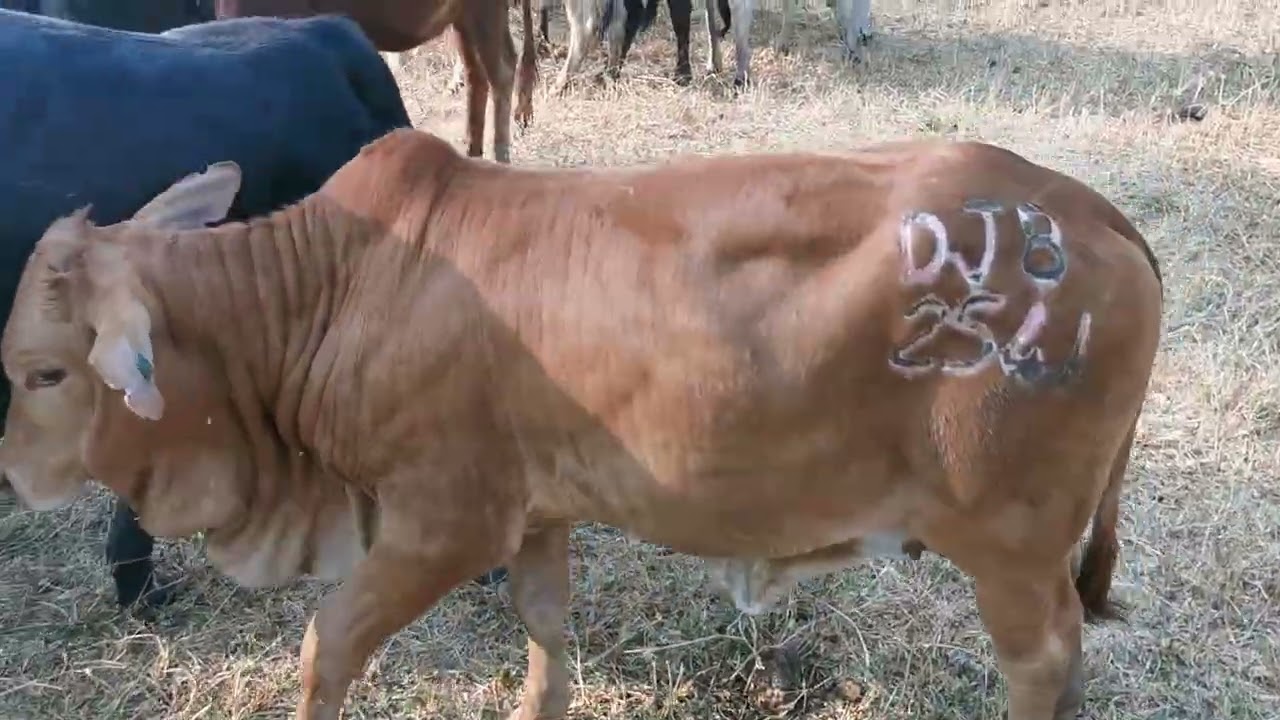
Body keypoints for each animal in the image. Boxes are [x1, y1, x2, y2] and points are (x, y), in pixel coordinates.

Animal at [0, 127, 1163, 720]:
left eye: (46, 372)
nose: (13, 477)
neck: (338, 283)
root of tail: (1090, 213)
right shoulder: (535, 512)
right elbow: (547, 638)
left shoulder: (443, 521)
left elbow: (325, 648)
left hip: (1007, 547)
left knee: (1040, 663)